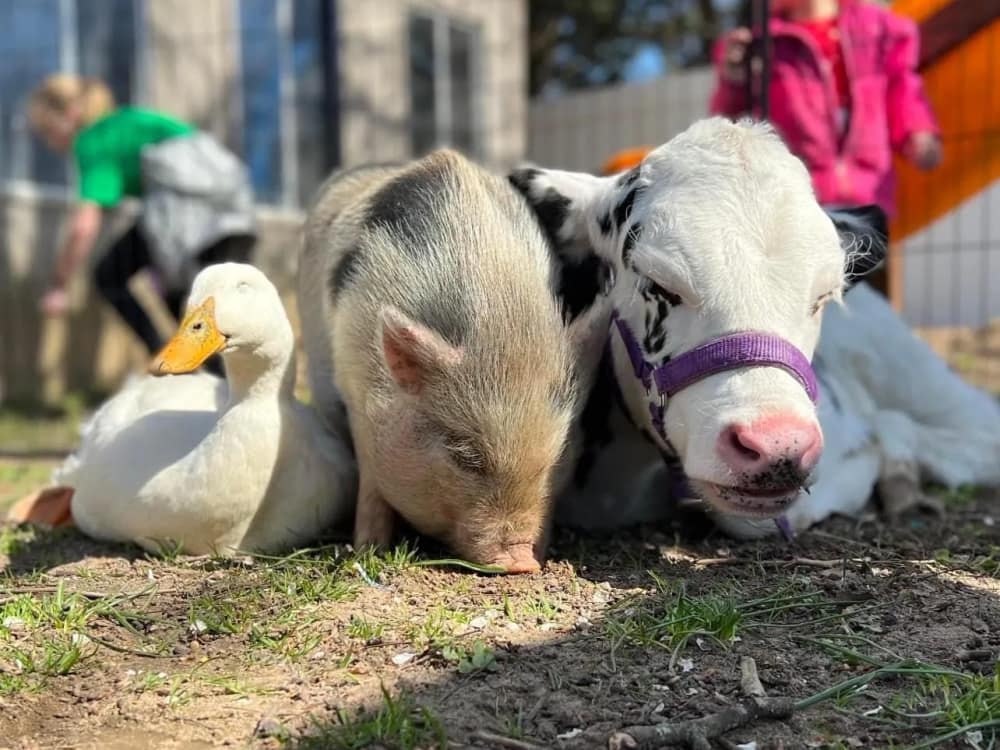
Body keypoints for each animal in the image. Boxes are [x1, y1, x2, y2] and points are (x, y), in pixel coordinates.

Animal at [297, 150, 605, 573]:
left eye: (558, 456)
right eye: (466, 456)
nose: (521, 562)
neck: (497, 312)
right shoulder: (357, 392)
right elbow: (372, 483)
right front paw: (369, 552)